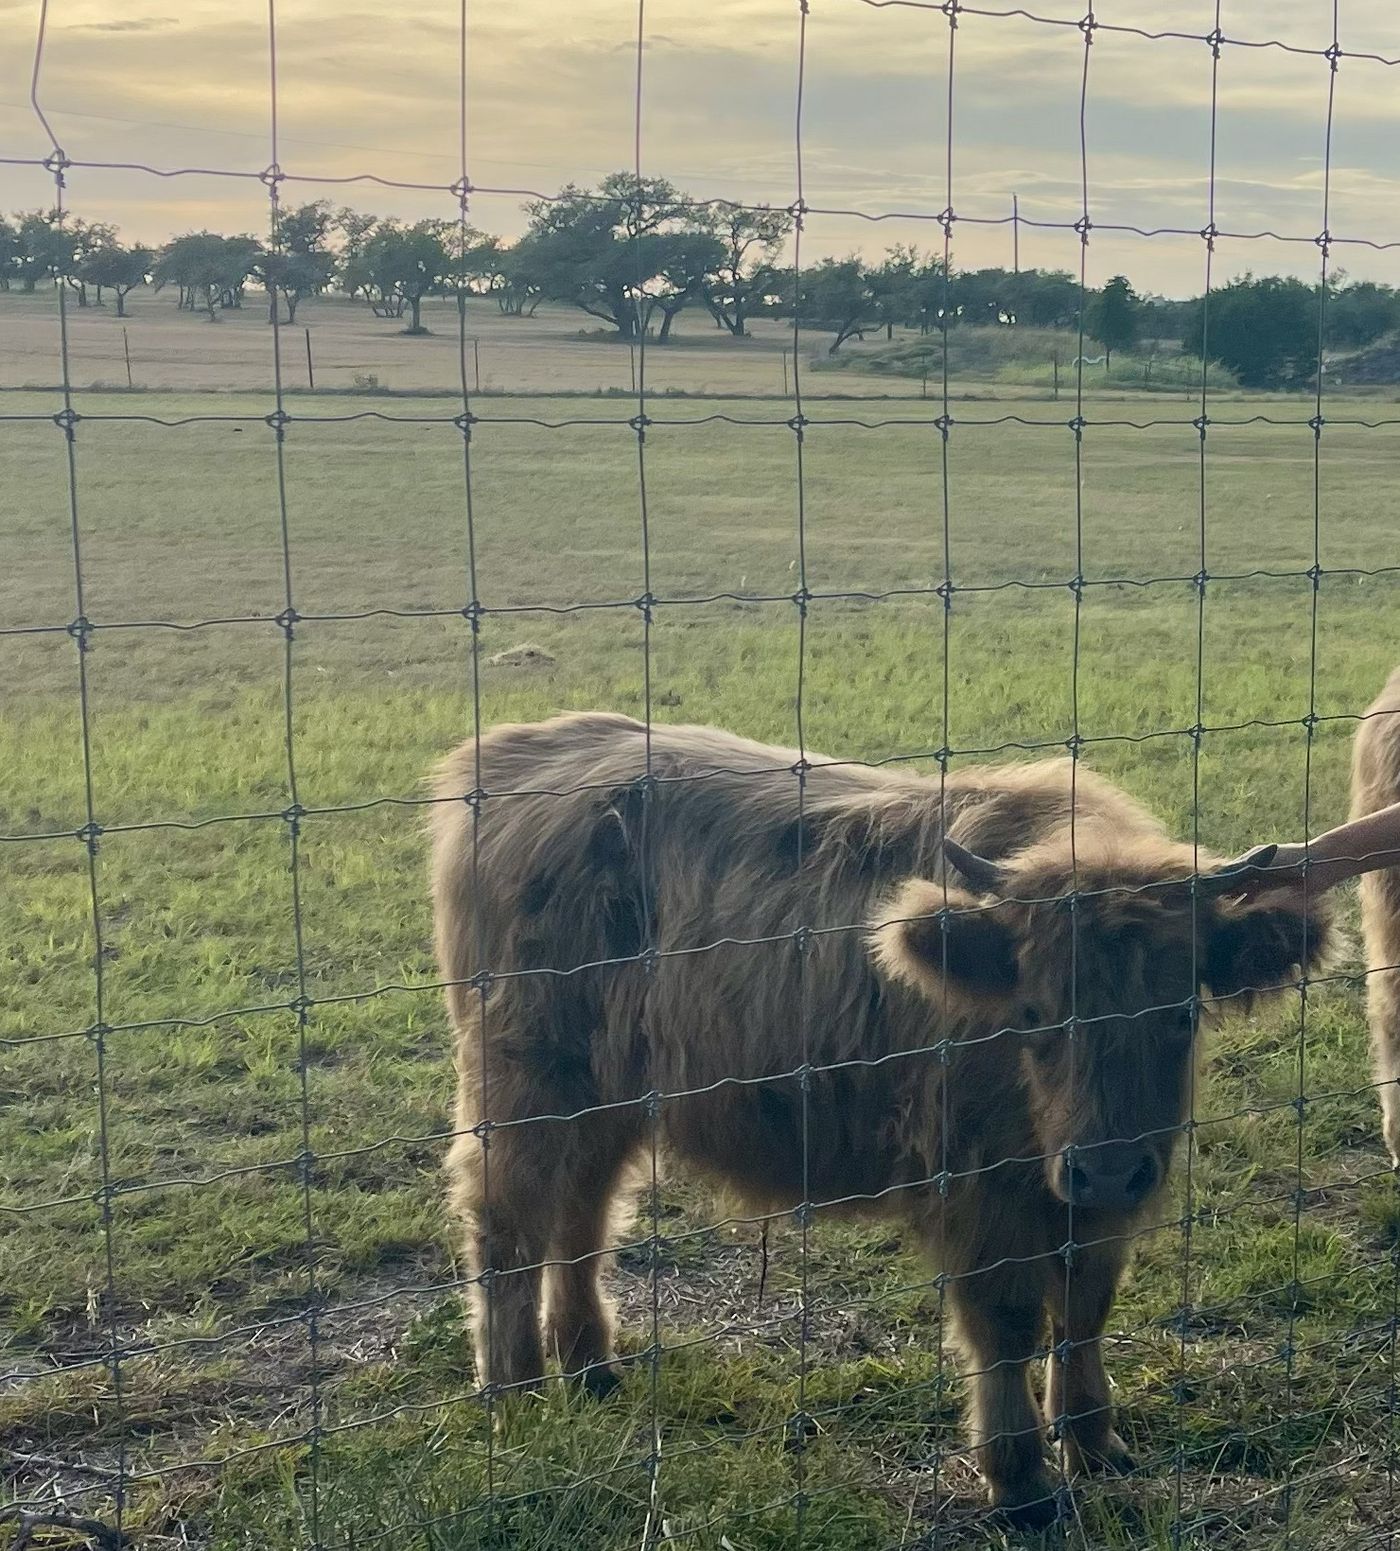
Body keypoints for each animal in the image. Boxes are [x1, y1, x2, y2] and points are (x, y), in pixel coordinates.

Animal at [430, 711, 1396, 1526]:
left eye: (1182, 1013)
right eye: (1035, 1013)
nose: (1108, 1167)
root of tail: (522, 746)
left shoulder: (1098, 1200)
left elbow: (1086, 1307)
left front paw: (1095, 1442)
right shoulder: (978, 1193)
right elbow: (1006, 1323)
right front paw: (1020, 1480)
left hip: (610, 1090)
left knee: (585, 1208)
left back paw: (591, 1367)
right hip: (522, 1075)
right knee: (507, 1218)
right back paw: (514, 1396)